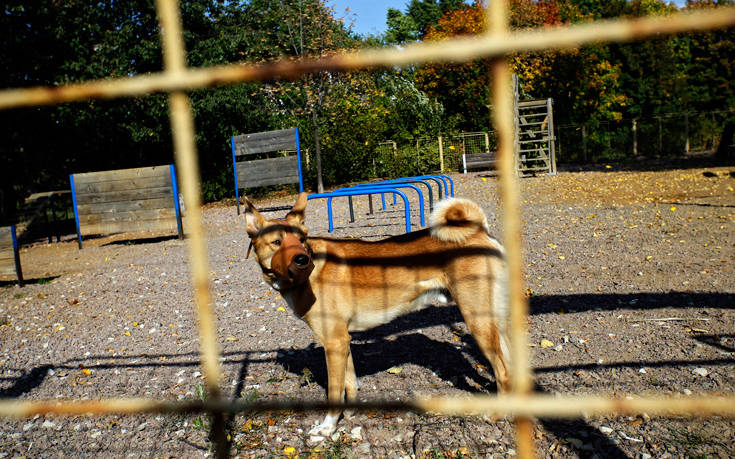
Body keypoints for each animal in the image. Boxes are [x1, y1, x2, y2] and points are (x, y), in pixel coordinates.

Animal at [244, 192, 508, 436]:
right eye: (276, 242)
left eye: (301, 240)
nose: (301, 259)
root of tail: (479, 231)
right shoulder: (342, 343)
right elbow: (350, 384)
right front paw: (349, 415)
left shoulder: (334, 343)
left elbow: (334, 391)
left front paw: (328, 428)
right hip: (495, 325)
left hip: (478, 322)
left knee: (502, 372)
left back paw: (497, 415)